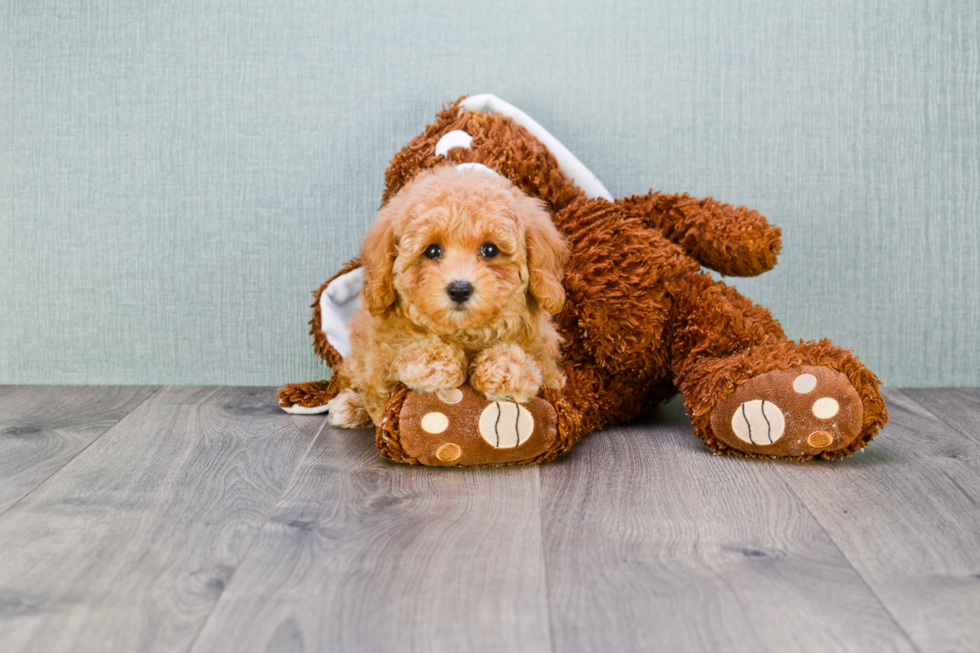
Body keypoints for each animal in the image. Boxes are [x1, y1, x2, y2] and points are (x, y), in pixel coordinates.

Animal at [332, 164, 568, 428]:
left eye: (490, 249)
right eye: (432, 251)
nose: (459, 289)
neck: (464, 333)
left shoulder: (547, 362)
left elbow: (531, 364)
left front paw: (504, 369)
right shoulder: (379, 362)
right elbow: (399, 357)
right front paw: (436, 362)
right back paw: (349, 406)